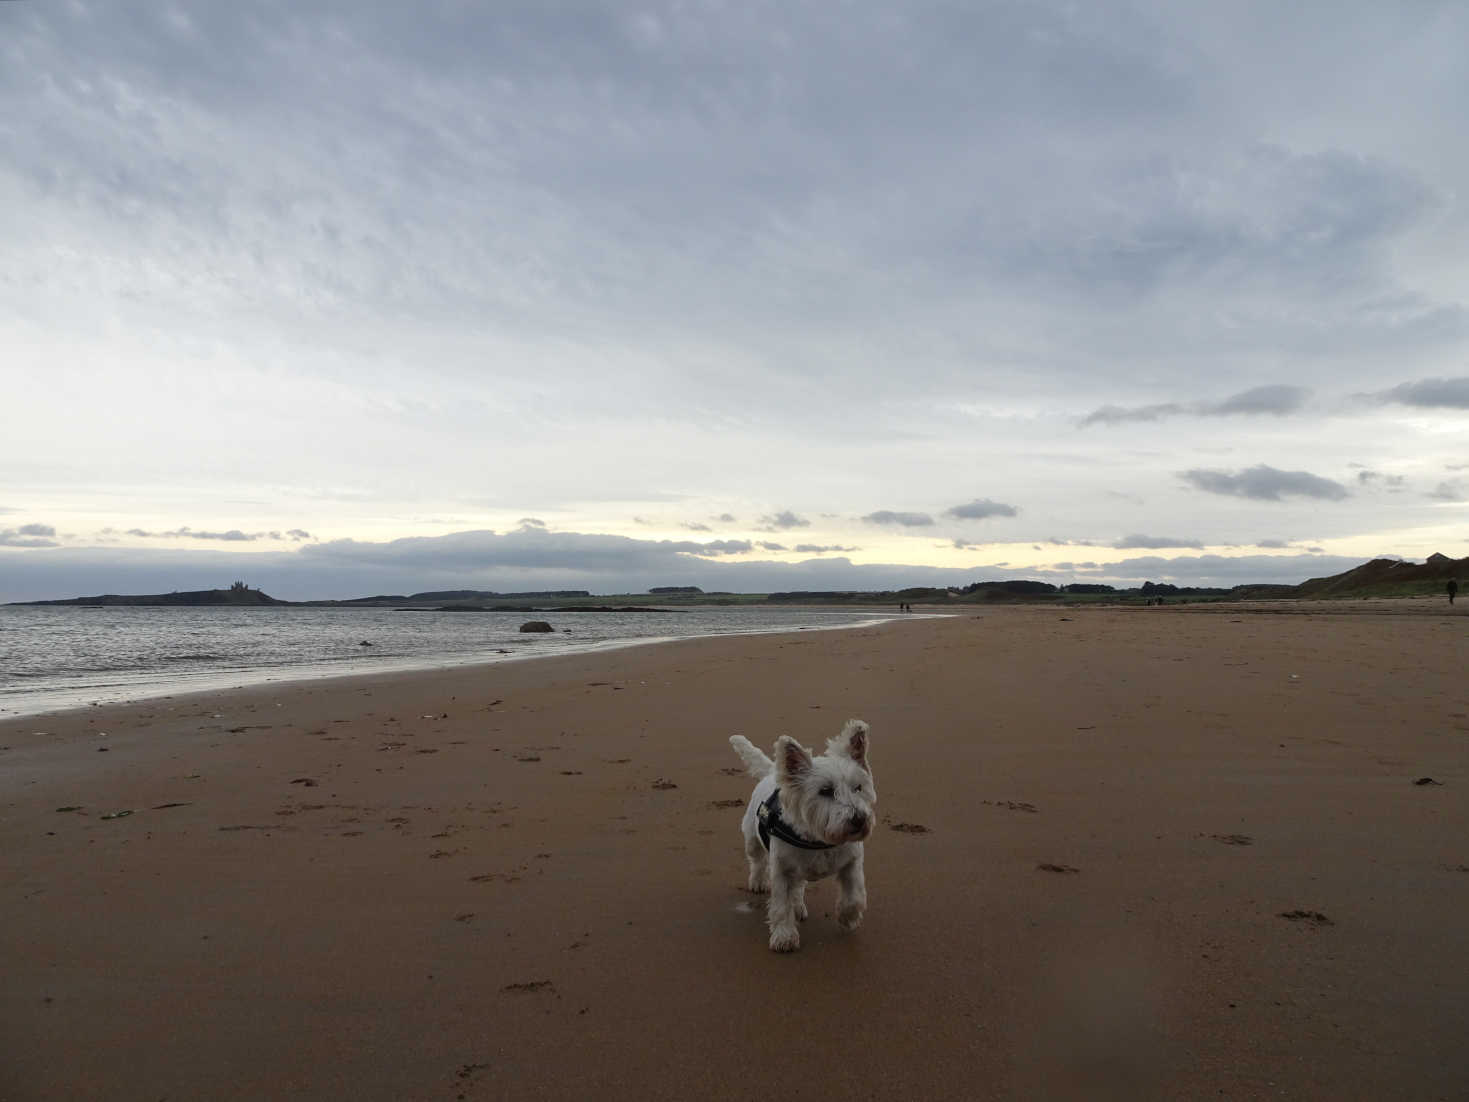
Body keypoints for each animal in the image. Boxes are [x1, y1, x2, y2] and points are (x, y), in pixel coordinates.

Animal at [725, 719, 869, 952]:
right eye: (825, 791)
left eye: (858, 787)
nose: (859, 819)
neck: (820, 840)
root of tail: (772, 773)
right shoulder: (781, 870)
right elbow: (781, 905)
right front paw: (784, 937)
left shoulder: (852, 862)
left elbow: (854, 896)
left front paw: (848, 919)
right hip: (752, 839)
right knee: (757, 861)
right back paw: (758, 882)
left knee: (798, 886)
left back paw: (799, 906)